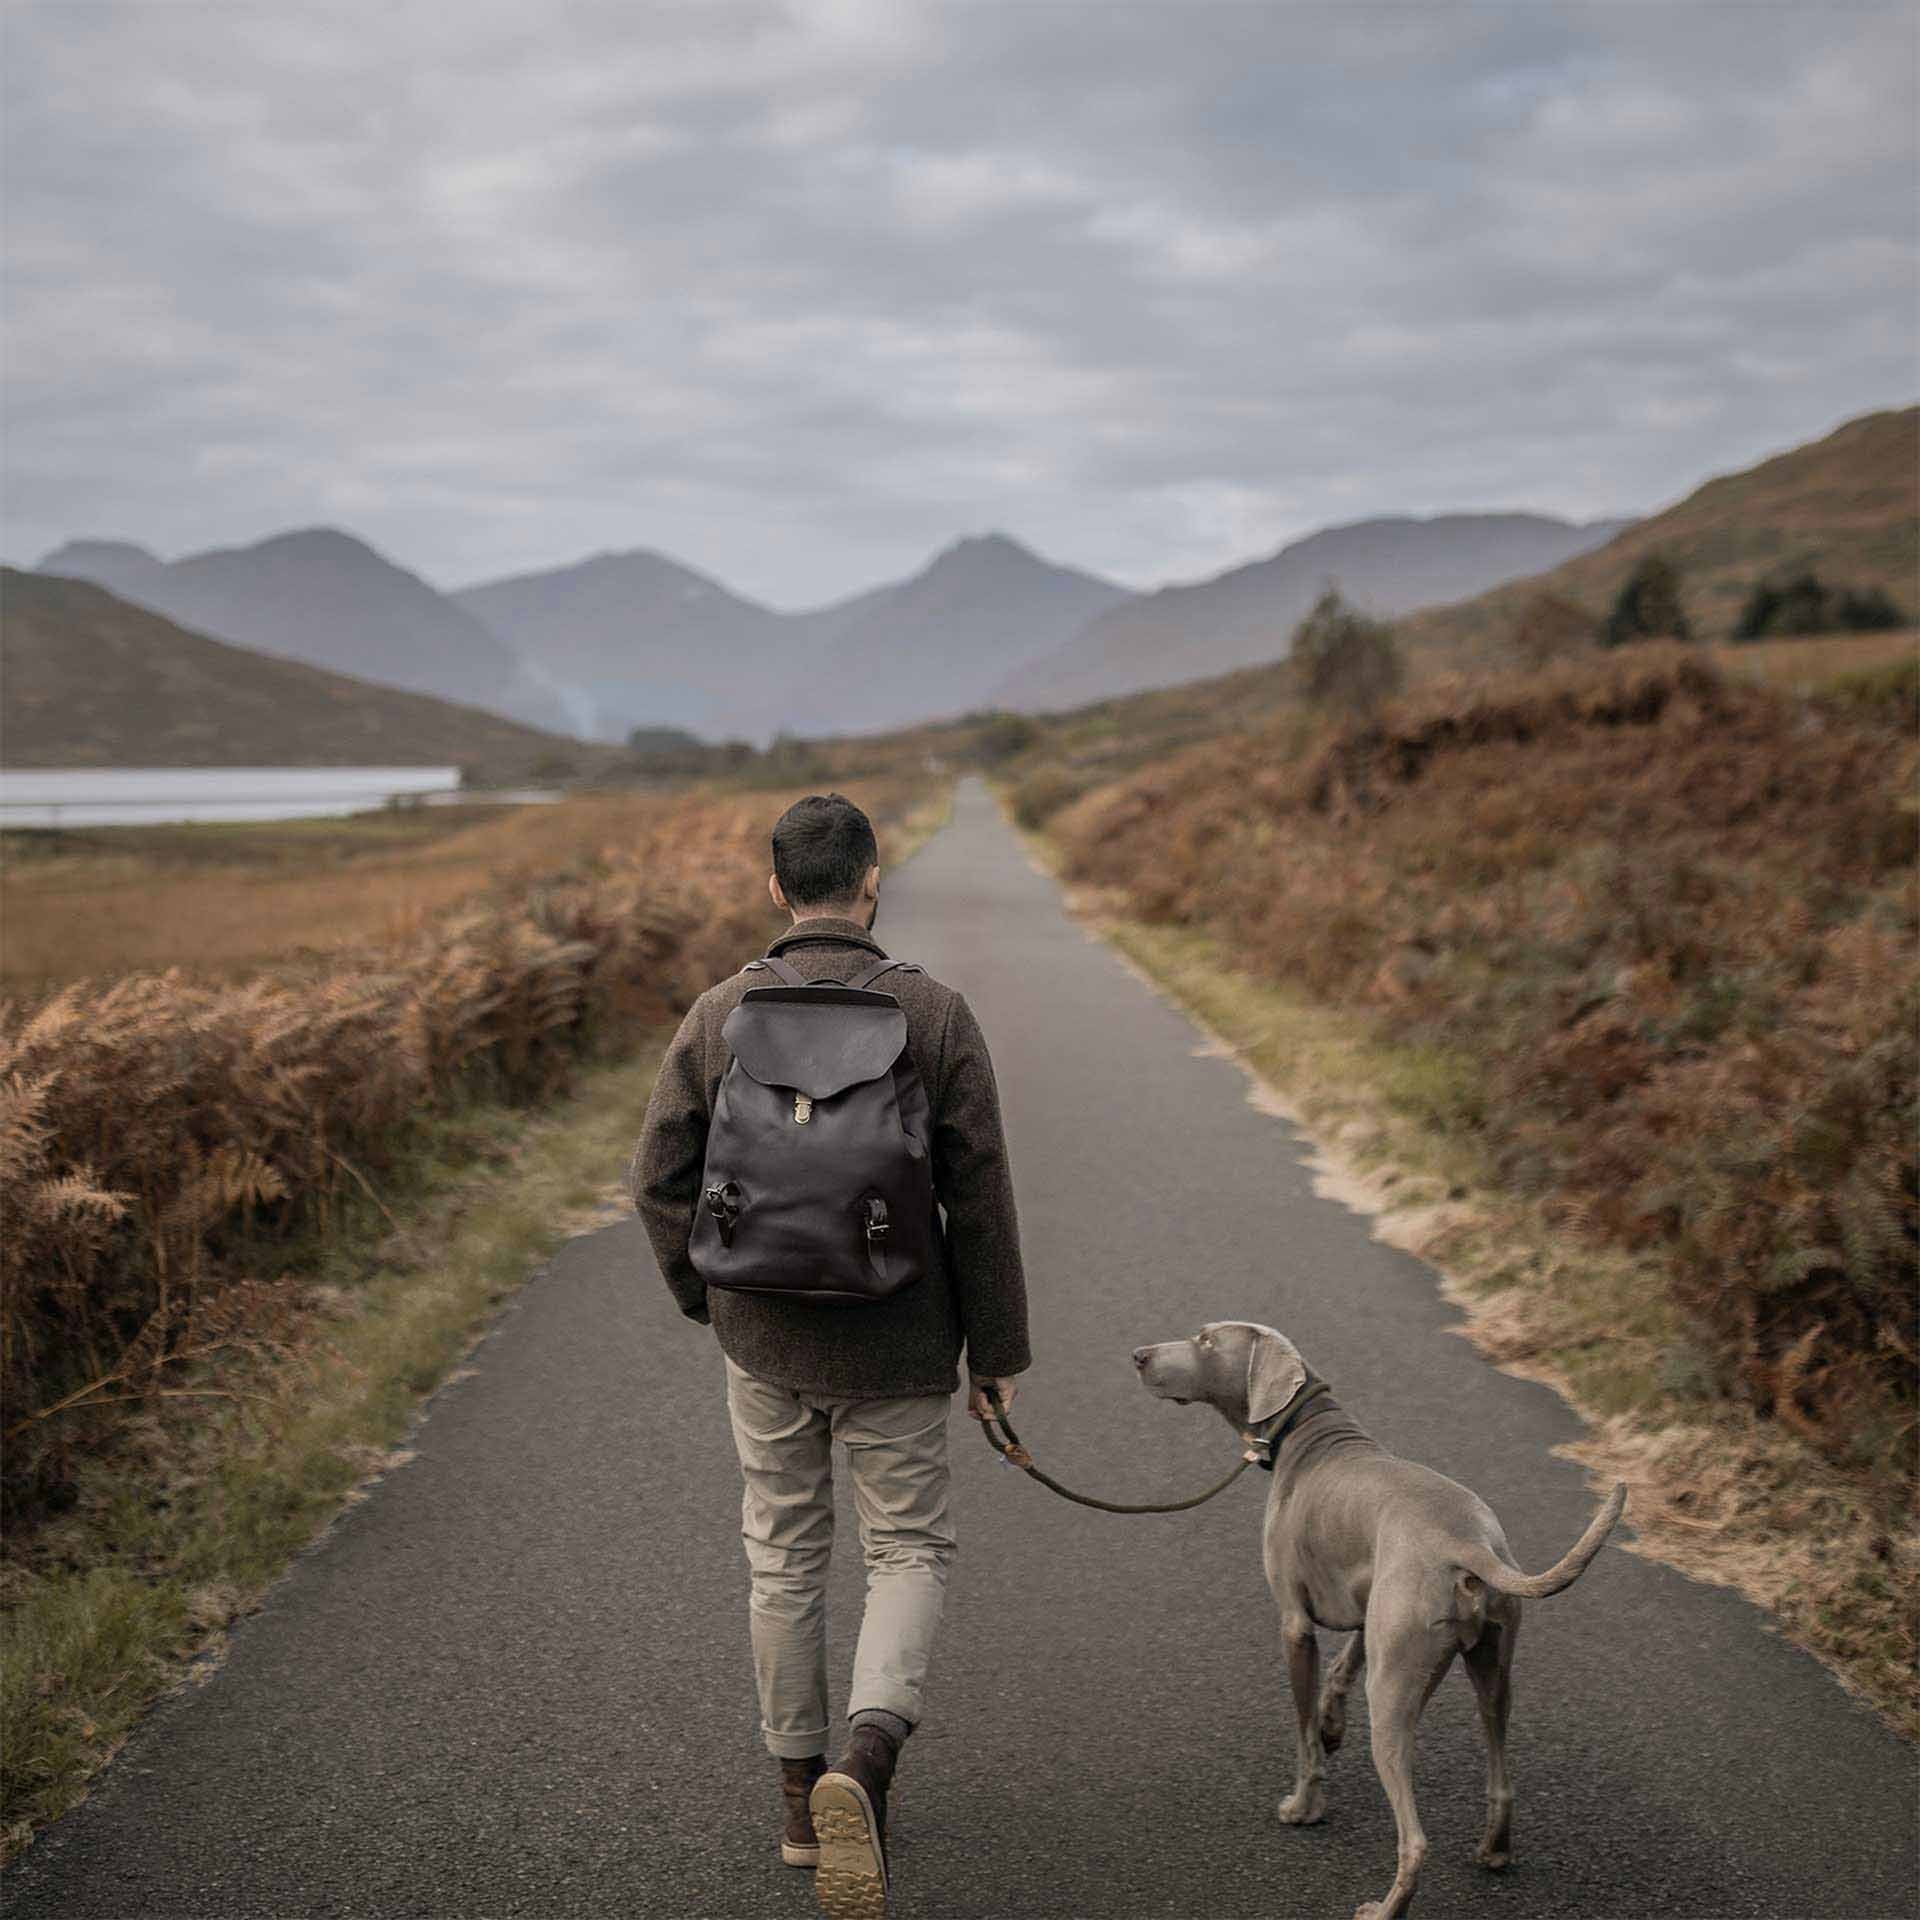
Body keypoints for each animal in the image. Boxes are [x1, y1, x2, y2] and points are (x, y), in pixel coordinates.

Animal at [1128, 1320, 1628, 1920]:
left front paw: (1304, 1805)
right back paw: (1494, 1851)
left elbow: (1303, 1734)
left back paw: (1386, 1908)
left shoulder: (1293, 1623)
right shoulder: (1372, 1607)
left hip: (1392, 1695)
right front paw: (1331, 1726)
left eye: (1205, 1340)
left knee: (1415, 1838)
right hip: (1489, 1662)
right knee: (1501, 1769)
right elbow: (1343, 1667)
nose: (1138, 1356)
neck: (1312, 1434)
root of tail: (1466, 1542)